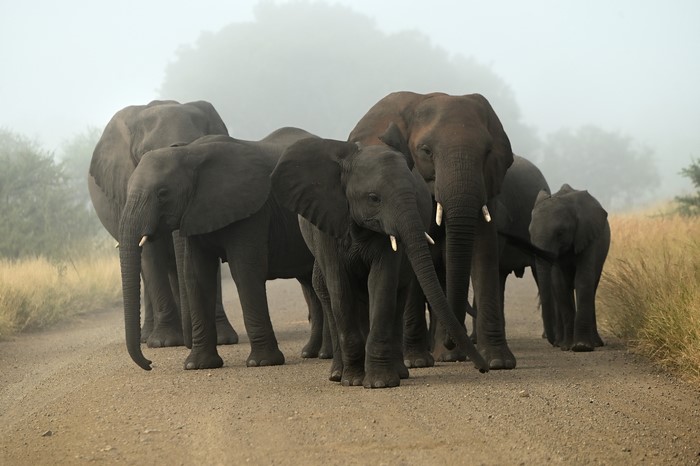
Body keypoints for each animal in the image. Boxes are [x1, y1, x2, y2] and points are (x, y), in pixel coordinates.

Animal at [88, 100, 238, 348]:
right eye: (145, 155)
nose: (190, 342)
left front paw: (223, 339)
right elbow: (150, 254)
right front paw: (165, 342)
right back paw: (149, 337)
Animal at [118, 127, 325, 371]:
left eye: (163, 193)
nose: (150, 363)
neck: (189, 153)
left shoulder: (251, 209)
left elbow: (245, 271)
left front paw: (262, 362)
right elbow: (197, 276)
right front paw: (197, 366)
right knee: (310, 284)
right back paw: (313, 353)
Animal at [271, 123, 488, 388]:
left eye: (414, 195)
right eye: (374, 198)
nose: (484, 369)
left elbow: (382, 284)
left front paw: (379, 383)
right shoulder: (327, 224)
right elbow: (340, 288)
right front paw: (353, 381)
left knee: (398, 295)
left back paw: (399, 373)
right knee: (332, 297)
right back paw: (337, 374)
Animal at [348, 92, 516, 369]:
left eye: (488, 152)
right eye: (426, 151)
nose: (450, 341)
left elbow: (484, 251)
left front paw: (499, 362)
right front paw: (416, 361)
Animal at [529, 184, 610, 351]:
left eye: (560, 233)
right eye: (529, 233)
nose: (551, 341)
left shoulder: (588, 236)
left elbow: (583, 280)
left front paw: (581, 347)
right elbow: (560, 284)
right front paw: (567, 346)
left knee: (592, 288)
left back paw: (595, 343)